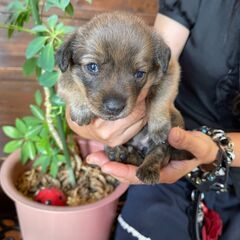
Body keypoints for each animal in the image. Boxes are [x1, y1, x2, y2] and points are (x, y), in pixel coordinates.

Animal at [56, 11, 189, 184]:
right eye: (92, 67)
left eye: (139, 74)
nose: (114, 107)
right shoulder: (63, 77)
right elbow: (72, 87)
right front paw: (81, 110)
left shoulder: (171, 72)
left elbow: (160, 100)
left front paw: (158, 127)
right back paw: (118, 152)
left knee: (157, 153)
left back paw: (147, 168)